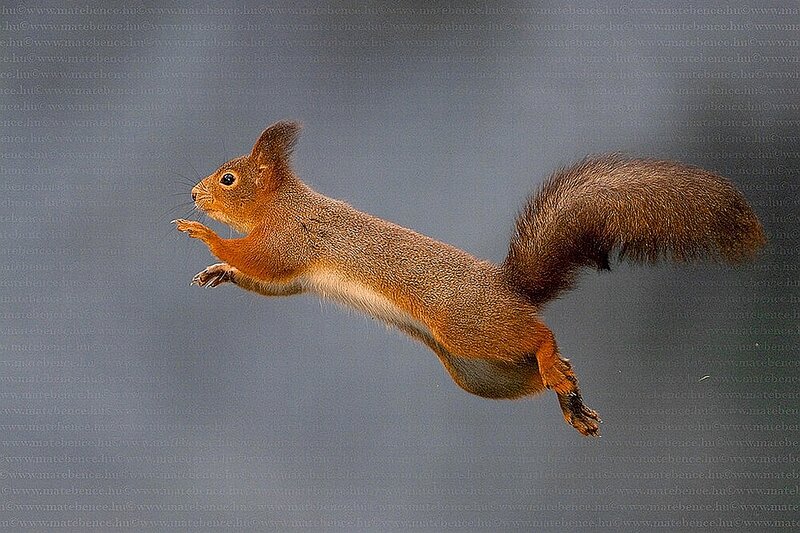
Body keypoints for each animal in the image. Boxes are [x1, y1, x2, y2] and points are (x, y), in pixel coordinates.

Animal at [174, 120, 766, 436]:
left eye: (229, 179)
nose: (195, 194)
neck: (280, 204)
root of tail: (513, 291)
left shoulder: (287, 240)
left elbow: (259, 262)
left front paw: (204, 236)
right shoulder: (290, 271)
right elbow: (271, 283)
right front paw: (219, 270)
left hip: (471, 329)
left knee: (540, 335)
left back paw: (555, 365)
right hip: (480, 371)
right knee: (543, 368)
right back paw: (569, 397)